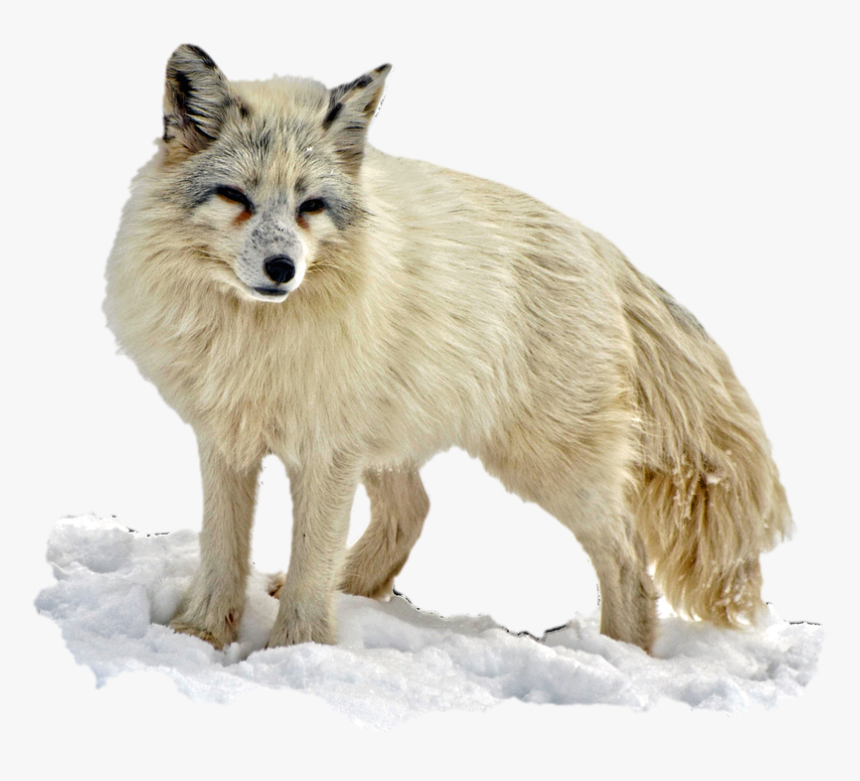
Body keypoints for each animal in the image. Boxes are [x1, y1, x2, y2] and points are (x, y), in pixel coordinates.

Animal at [104, 44, 792, 654]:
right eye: (235, 197)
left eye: (311, 206)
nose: (282, 270)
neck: (254, 336)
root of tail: (597, 245)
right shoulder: (227, 438)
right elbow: (223, 550)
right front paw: (199, 636)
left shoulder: (326, 452)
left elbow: (311, 564)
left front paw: (294, 652)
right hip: (397, 445)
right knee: (414, 512)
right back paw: (355, 590)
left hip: (548, 465)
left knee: (628, 560)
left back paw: (622, 656)